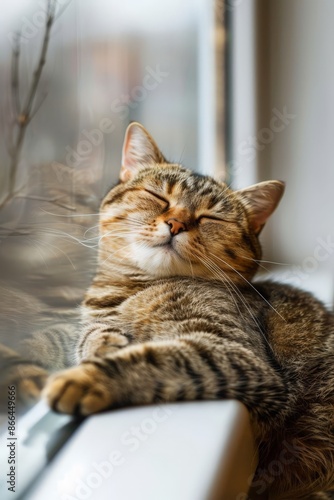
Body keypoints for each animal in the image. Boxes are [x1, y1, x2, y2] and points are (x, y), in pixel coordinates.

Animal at [45, 122, 334, 500]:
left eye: (210, 216)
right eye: (159, 197)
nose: (177, 224)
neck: (136, 288)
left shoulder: (236, 353)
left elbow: (157, 358)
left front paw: (84, 377)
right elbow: (93, 334)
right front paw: (104, 341)